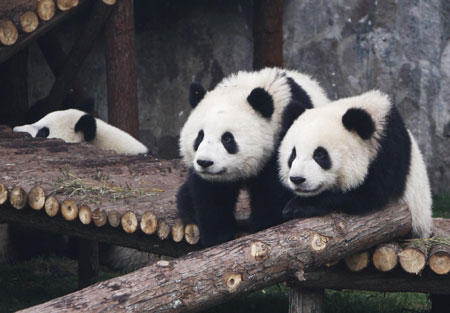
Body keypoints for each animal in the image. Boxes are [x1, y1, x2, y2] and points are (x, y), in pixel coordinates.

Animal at [178, 67, 328, 245]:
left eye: (227, 139)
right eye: (200, 136)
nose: (205, 162)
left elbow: (272, 195)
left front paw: (263, 227)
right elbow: (212, 196)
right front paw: (217, 237)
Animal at [278, 89, 432, 236]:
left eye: (320, 155)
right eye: (293, 154)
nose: (297, 179)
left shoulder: (389, 151)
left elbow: (370, 194)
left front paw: (298, 206)